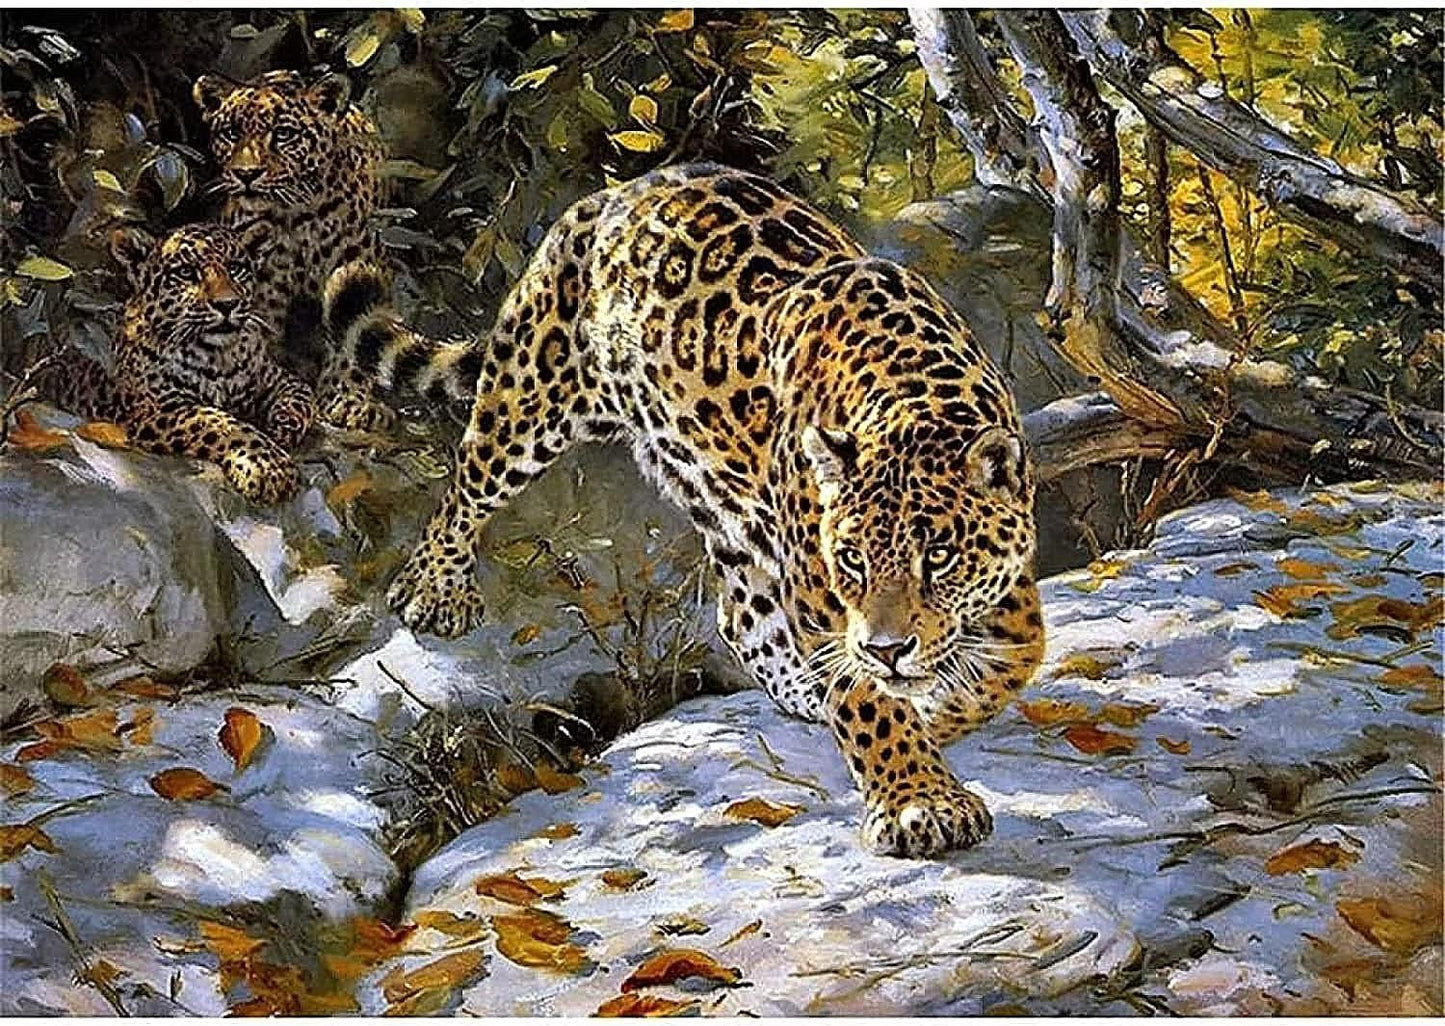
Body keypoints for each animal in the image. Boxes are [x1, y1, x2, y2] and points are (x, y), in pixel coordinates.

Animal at [44, 222, 313, 504]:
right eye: (185, 273)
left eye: (235, 268)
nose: (227, 304)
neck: (218, 357)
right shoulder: (157, 409)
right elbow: (221, 423)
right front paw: (269, 467)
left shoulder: (273, 375)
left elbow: (303, 394)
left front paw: (282, 427)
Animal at [193, 68, 394, 432]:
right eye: (231, 133)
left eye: (284, 134)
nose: (245, 174)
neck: (298, 213)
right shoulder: (260, 273)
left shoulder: (357, 260)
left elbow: (352, 330)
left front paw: (347, 399)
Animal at [330, 164, 1045, 858]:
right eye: (852, 561)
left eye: (940, 557)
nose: (888, 648)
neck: (913, 400)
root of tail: (612, 195)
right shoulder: (821, 596)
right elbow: (871, 702)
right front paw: (918, 801)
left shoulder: (1006, 587)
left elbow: (1017, 658)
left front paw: (936, 713)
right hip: (530, 400)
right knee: (466, 487)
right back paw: (433, 590)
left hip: (714, 491)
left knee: (740, 614)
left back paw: (805, 686)